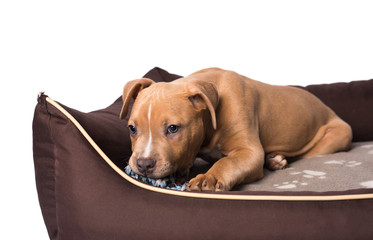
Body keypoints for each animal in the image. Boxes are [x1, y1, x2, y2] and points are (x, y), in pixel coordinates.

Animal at [120, 67, 352, 191]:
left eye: (173, 128)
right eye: (132, 128)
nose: (143, 164)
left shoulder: (250, 151)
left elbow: (227, 161)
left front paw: (209, 178)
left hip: (337, 137)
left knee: (305, 154)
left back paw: (276, 160)